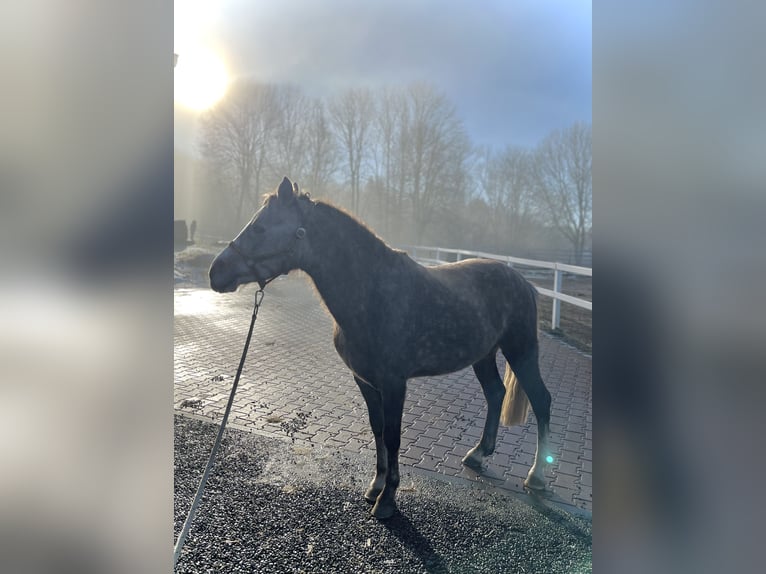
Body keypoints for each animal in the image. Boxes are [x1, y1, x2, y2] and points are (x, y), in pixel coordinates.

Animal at [208, 177, 552, 520]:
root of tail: (522, 281)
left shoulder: (394, 383)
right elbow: (377, 430)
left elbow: (393, 435)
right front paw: (376, 485)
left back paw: (536, 476)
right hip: (483, 356)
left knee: (541, 400)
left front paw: (387, 499)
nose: (216, 272)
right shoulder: (365, 381)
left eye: (259, 228)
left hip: (521, 351)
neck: (372, 292)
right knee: (495, 393)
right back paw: (478, 454)